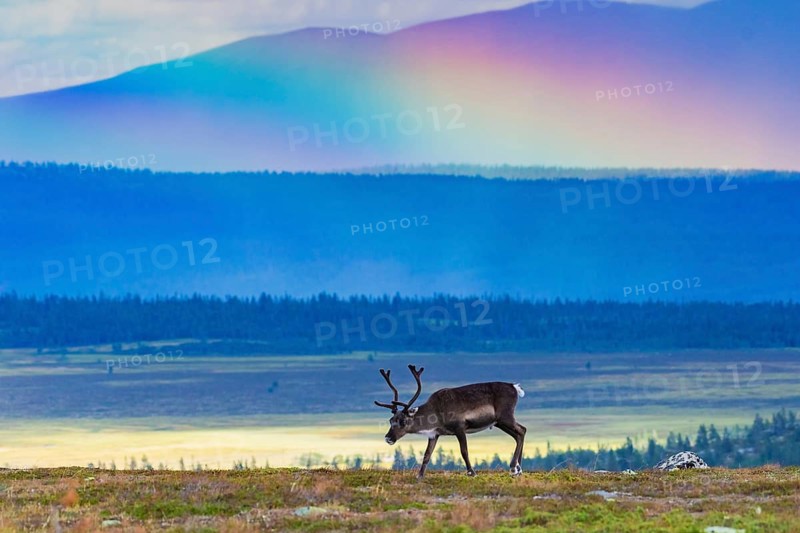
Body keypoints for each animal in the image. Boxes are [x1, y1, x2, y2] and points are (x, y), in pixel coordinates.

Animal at [375, 364, 526, 478]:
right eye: (391, 420)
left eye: (403, 421)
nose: (388, 438)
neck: (436, 412)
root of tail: (514, 387)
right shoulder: (434, 434)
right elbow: (427, 455)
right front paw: (420, 475)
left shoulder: (460, 428)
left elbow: (464, 451)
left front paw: (471, 472)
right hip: (499, 422)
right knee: (519, 433)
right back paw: (518, 468)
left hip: (505, 417)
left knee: (521, 430)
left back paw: (514, 468)